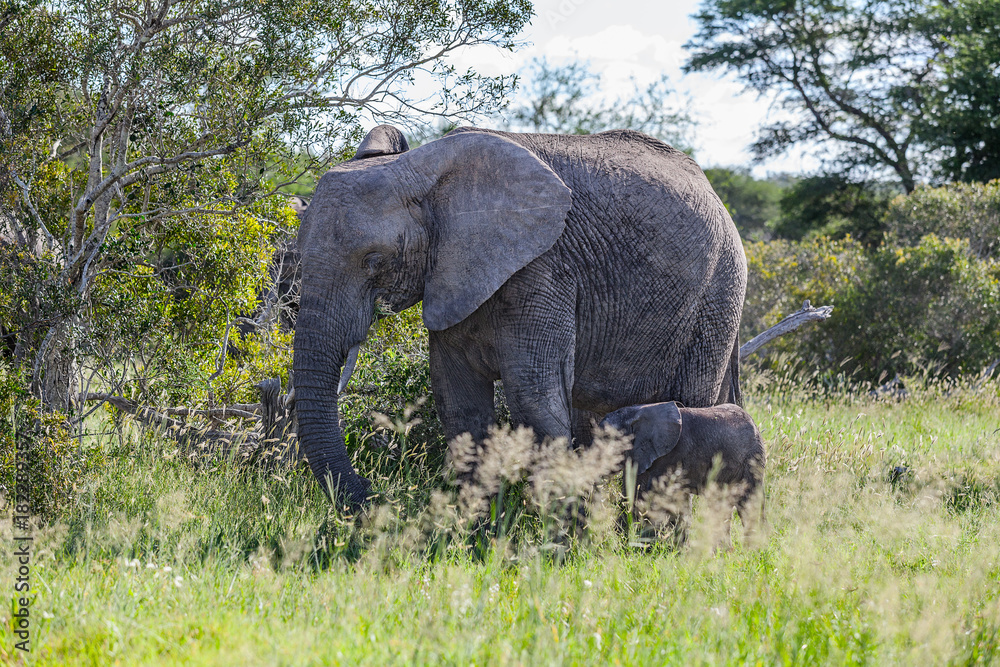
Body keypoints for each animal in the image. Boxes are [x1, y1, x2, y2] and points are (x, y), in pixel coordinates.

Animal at [292, 124, 748, 506]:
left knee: (693, 401)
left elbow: (532, 398)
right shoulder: (452, 276)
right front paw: (473, 531)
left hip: (717, 296)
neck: (426, 172)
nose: (372, 491)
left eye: (374, 261)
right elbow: (457, 401)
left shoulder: (544, 268)